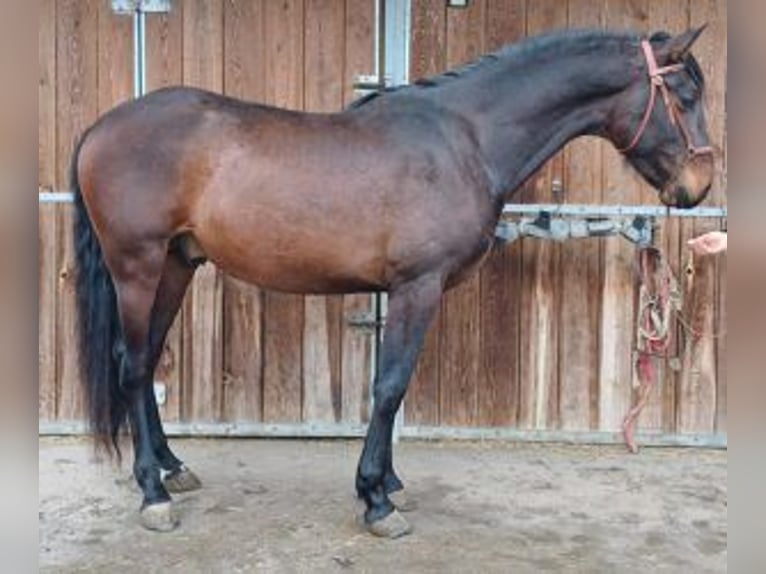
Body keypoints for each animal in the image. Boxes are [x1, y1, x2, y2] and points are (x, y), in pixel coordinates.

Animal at [72, 26, 714, 538]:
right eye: (684, 96)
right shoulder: (415, 287)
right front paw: (376, 499)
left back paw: (173, 468)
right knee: (133, 366)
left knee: (146, 361)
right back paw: (153, 493)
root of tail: (102, 128)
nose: (699, 185)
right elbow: (389, 386)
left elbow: (390, 389)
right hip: (137, 265)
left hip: (178, 264)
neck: (466, 139)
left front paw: (388, 482)